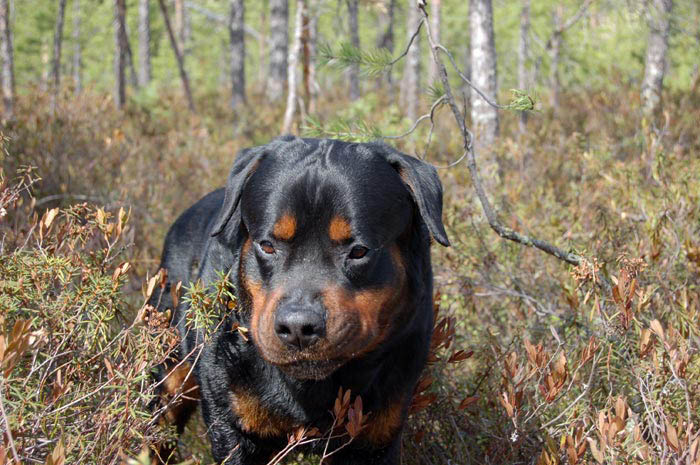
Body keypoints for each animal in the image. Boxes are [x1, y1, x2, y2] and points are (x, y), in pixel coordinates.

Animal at [150, 136, 452, 462]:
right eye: (267, 245)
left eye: (359, 251)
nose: (297, 327)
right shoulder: (232, 428)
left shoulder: (378, 435)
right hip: (169, 373)